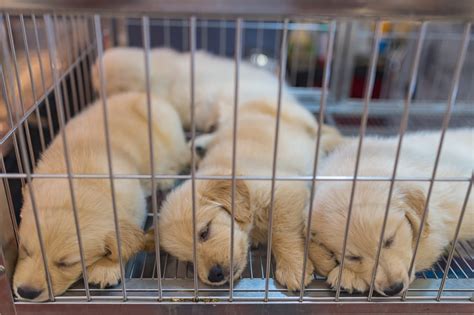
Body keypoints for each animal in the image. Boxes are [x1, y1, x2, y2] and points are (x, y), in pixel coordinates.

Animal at [12, 91, 189, 302]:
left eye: (66, 263)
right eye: (24, 249)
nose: (26, 292)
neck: (78, 174)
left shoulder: (134, 205)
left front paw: (105, 267)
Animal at [146, 100, 342, 290]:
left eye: (204, 232)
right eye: (189, 261)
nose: (214, 275)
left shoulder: (284, 190)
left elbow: (282, 232)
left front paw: (293, 267)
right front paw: (322, 258)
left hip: (298, 117)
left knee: (321, 129)